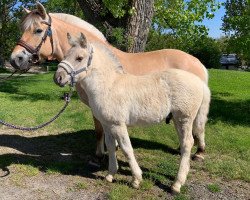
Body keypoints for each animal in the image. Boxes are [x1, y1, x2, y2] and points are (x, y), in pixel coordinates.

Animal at [9, 2, 208, 160]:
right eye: (22, 29)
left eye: (38, 30)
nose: (15, 59)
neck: (94, 62)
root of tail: (197, 62)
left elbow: (99, 130)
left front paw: (100, 155)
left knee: (196, 127)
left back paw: (197, 152)